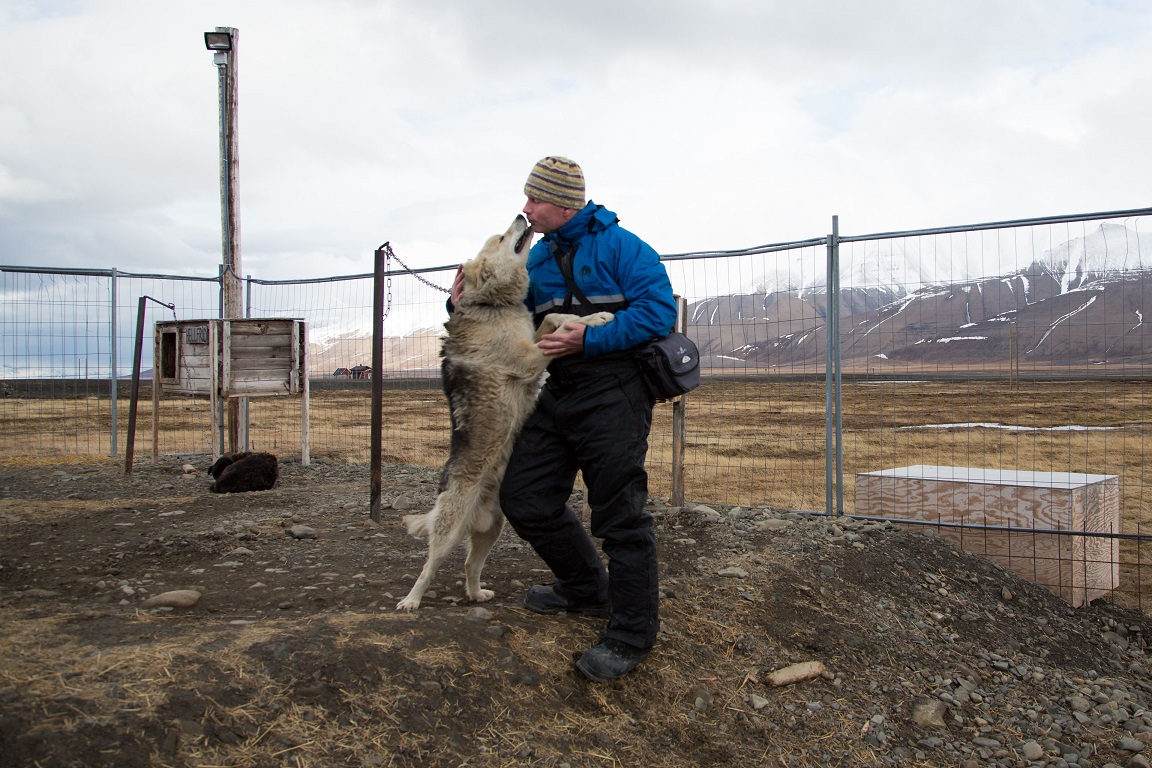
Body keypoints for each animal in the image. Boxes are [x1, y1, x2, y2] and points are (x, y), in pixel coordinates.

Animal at [396, 216, 612, 612]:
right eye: (500, 238)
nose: (521, 216)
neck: (496, 305)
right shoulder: (528, 358)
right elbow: (558, 332)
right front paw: (594, 320)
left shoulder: (533, 336)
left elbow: (555, 315)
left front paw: (596, 314)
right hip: (449, 532)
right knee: (429, 566)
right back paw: (411, 601)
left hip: (492, 529)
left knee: (469, 564)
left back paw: (476, 593)